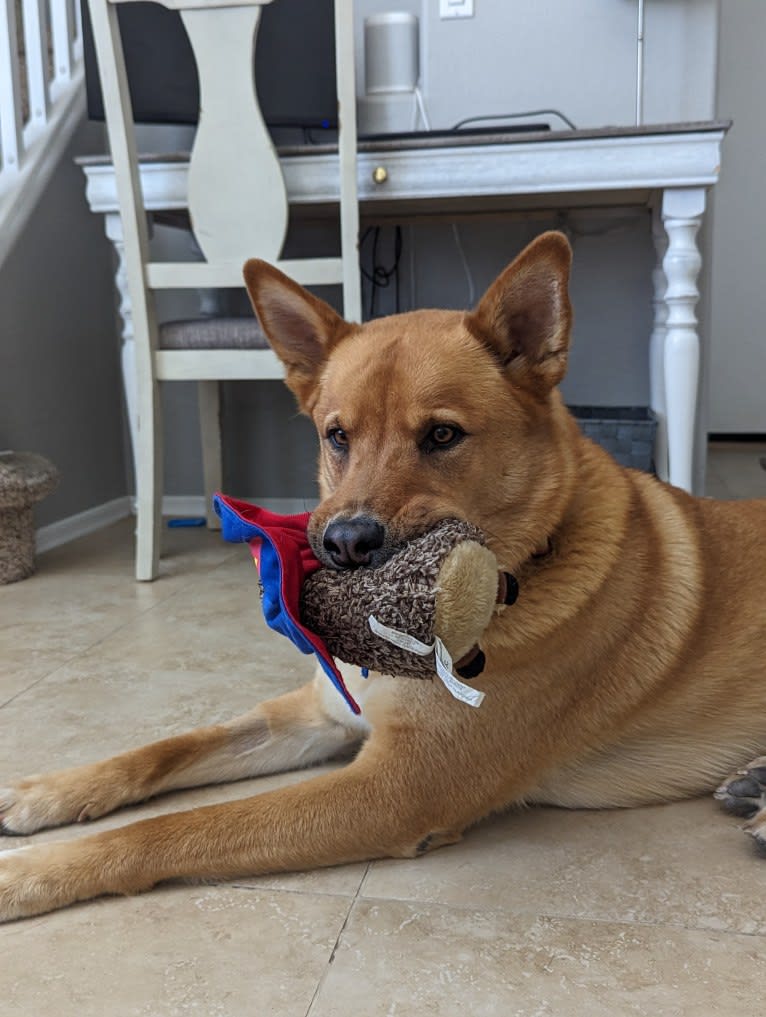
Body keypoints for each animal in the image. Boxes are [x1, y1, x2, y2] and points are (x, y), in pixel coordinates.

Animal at [1, 232, 764, 923]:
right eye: (337, 436)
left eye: (443, 435)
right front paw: (47, 793)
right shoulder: (318, 716)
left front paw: (35, 871)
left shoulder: (395, 790)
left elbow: (177, 827)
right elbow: (163, 750)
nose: (344, 543)